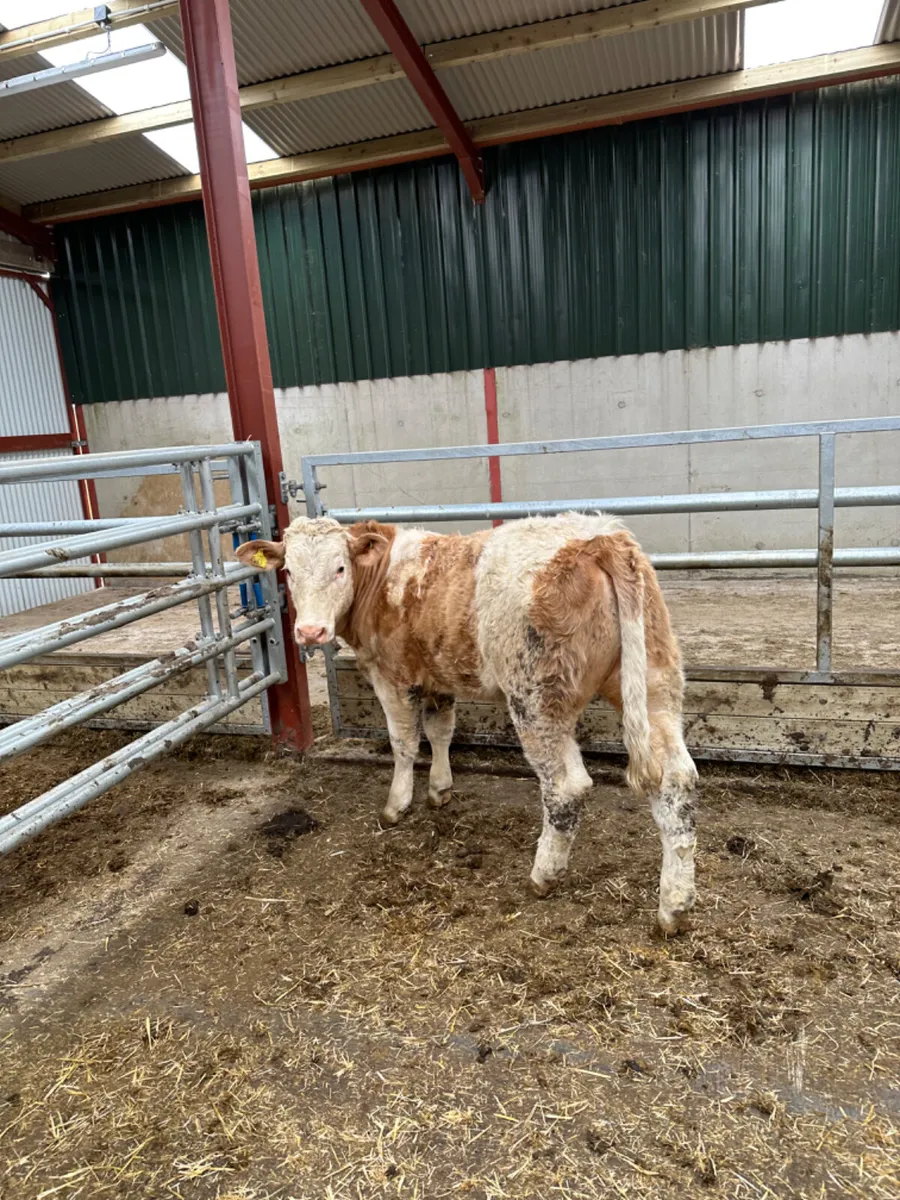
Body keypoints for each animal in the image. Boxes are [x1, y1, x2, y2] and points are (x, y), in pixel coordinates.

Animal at [236, 513, 697, 933]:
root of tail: (598, 537)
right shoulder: (438, 678)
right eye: (289, 571)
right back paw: (674, 906)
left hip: (536, 699)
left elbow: (404, 742)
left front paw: (396, 804)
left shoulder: (392, 677)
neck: (384, 577)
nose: (310, 632)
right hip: (655, 683)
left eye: (340, 568)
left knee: (567, 787)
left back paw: (543, 876)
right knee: (675, 780)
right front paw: (440, 789)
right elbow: (441, 730)